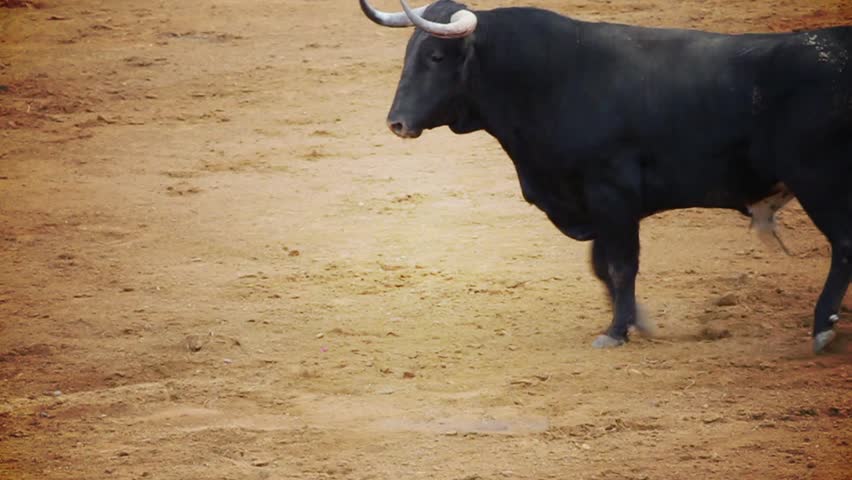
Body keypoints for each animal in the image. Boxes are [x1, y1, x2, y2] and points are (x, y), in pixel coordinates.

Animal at [359, 0, 852, 353]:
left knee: (843, 244)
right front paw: (637, 320)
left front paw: (616, 331)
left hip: (819, 182)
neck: (548, 79)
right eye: (409, 54)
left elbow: (619, 265)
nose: (396, 122)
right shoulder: (594, 203)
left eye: (436, 56)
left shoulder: (611, 195)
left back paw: (823, 327)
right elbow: (600, 265)